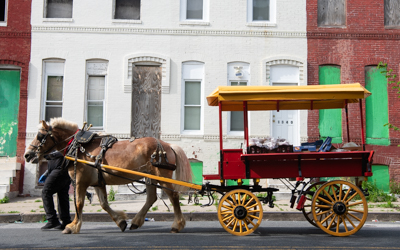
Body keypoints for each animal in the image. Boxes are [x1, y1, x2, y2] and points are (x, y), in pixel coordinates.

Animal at [24, 117, 193, 234]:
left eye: (40, 136)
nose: (27, 155)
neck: (77, 147)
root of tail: (168, 145)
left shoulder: (80, 181)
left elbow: (79, 203)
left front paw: (72, 226)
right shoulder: (98, 182)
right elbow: (104, 204)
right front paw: (121, 222)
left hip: (162, 177)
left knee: (173, 196)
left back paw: (177, 225)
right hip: (150, 177)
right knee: (151, 198)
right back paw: (136, 221)